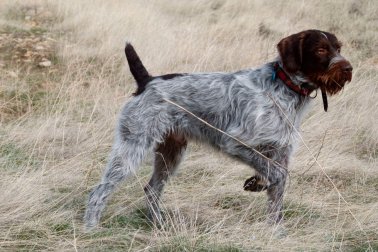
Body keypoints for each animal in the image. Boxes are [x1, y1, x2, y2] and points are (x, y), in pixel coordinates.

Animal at [84, 28, 352, 229]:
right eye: (320, 49)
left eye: (338, 48)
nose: (348, 68)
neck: (284, 88)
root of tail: (147, 81)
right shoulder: (235, 142)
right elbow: (274, 175)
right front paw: (258, 183)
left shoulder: (281, 152)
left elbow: (277, 192)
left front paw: (276, 232)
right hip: (132, 147)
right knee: (98, 192)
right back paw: (91, 229)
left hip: (171, 153)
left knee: (151, 190)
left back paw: (158, 225)